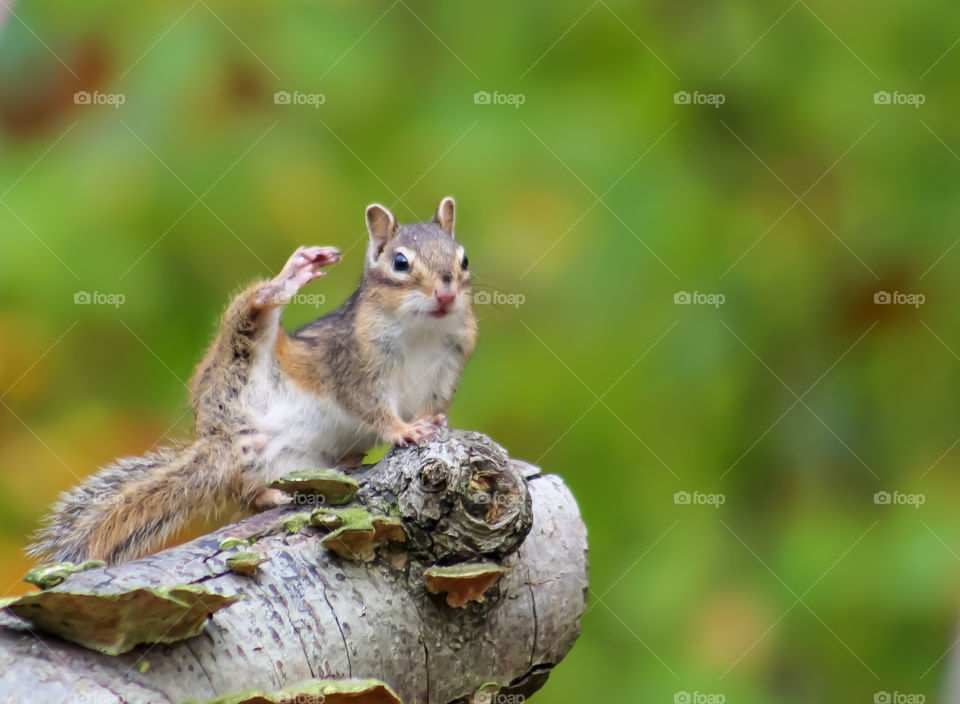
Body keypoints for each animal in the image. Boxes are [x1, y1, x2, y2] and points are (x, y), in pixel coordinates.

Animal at [27, 196, 477, 566]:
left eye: (464, 260)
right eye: (400, 263)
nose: (446, 294)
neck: (422, 331)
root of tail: (222, 443)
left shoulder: (445, 371)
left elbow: (433, 405)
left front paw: (436, 422)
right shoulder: (351, 365)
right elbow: (371, 406)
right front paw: (403, 430)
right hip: (236, 365)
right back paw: (285, 282)